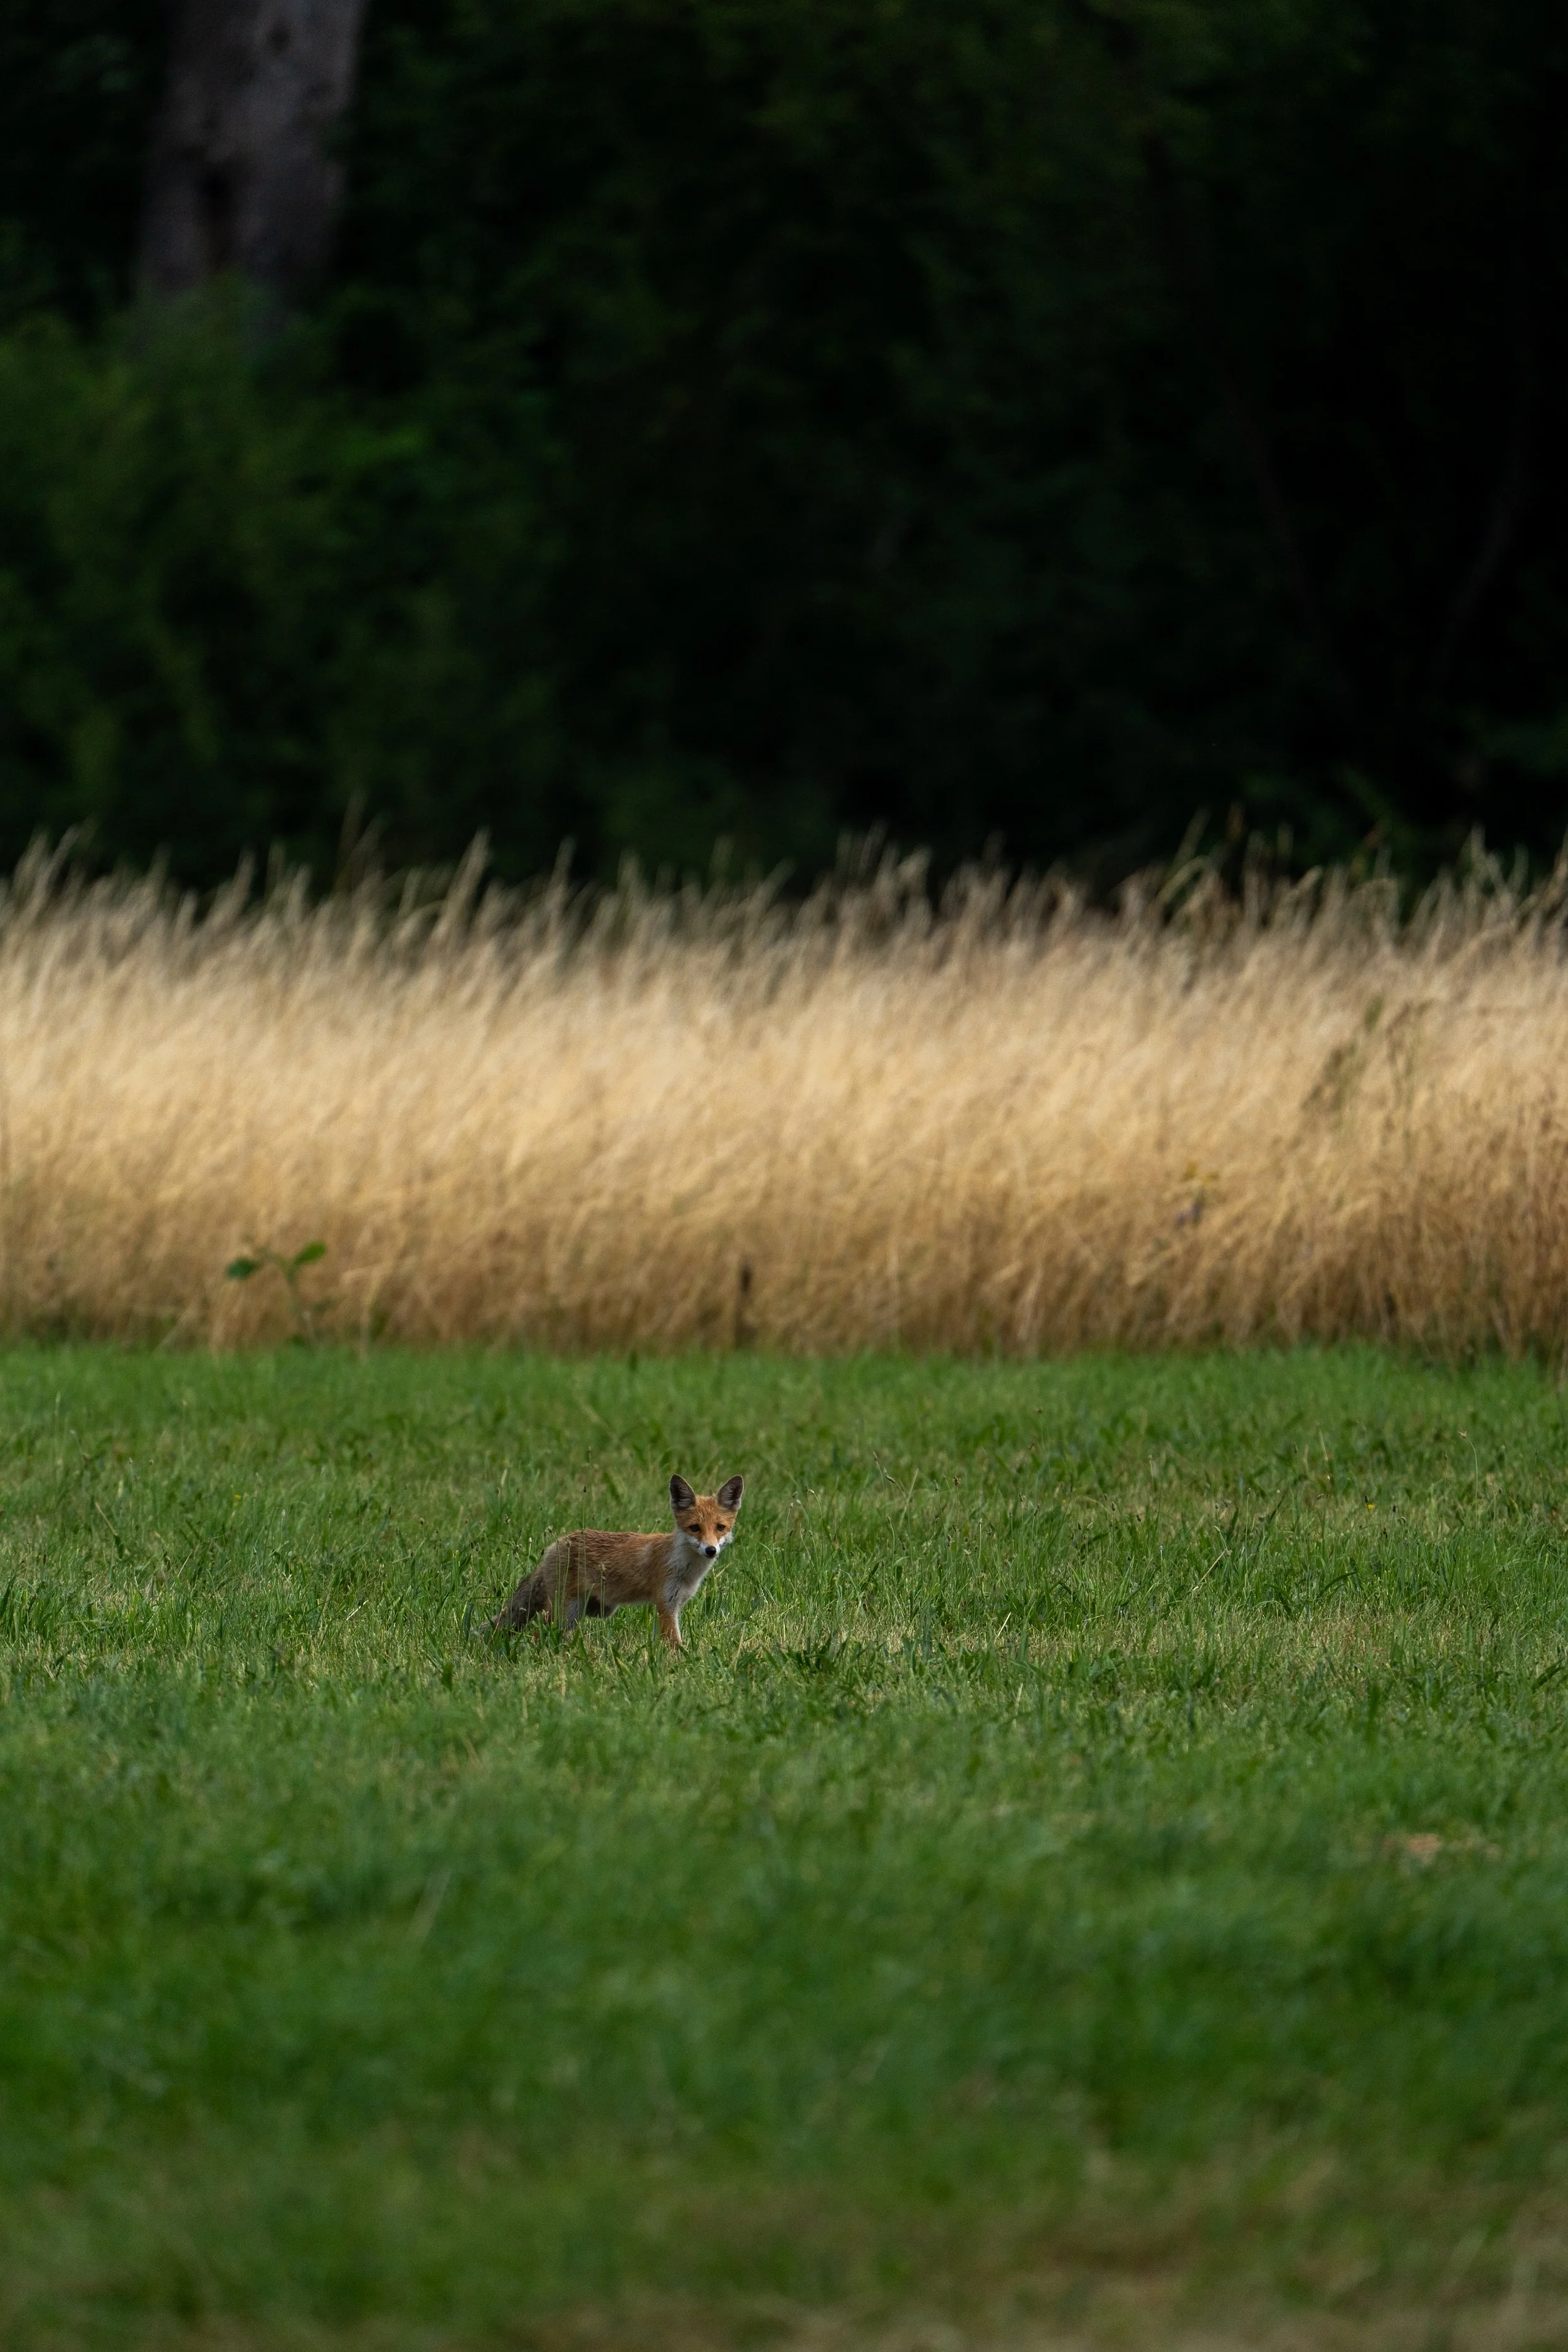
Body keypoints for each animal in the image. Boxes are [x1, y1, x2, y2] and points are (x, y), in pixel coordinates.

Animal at [489, 1473, 744, 1651]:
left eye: (720, 1527)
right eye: (695, 1528)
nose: (710, 1550)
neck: (685, 1568)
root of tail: (556, 1545)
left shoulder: (670, 1606)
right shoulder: (666, 1603)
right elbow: (675, 1645)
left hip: (588, 1611)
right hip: (565, 1613)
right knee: (537, 1635)